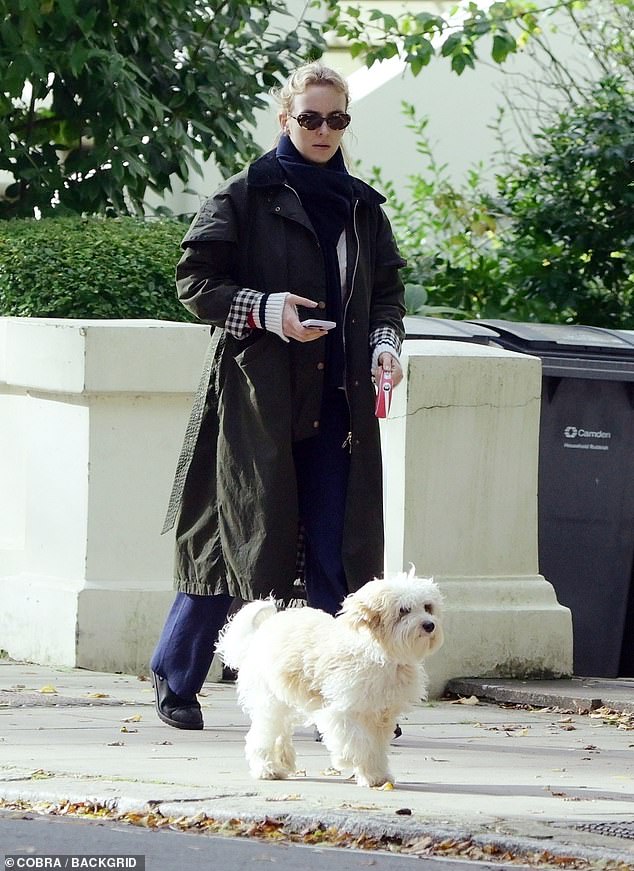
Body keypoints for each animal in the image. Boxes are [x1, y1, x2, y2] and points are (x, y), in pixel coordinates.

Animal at [215, 572, 442, 792]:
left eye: (427, 607)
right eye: (404, 610)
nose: (429, 625)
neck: (379, 654)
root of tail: (261, 631)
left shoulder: (381, 716)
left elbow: (376, 748)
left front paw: (376, 776)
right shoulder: (342, 711)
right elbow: (359, 741)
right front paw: (347, 758)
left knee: (280, 731)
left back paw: (282, 762)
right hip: (270, 700)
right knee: (262, 735)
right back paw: (267, 768)